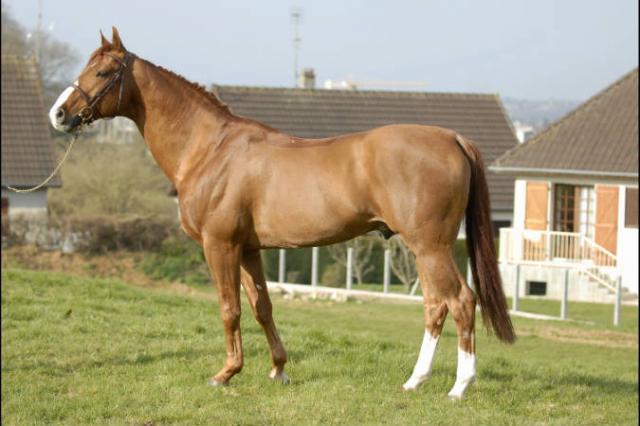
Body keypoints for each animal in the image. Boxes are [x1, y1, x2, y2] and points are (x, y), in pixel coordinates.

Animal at [49, 27, 515, 399]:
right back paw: (415, 381)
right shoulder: (250, 249)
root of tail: (451, 138)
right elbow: (262, 307)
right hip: (425, 249)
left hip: (430, 246)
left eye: (104, 72)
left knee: (460, 301)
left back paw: (459, 387)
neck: (211, 149)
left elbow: (229, 309)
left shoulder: (220, 246)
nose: (59, 113)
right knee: (435, 306)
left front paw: (225, 374)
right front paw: (278, 370)